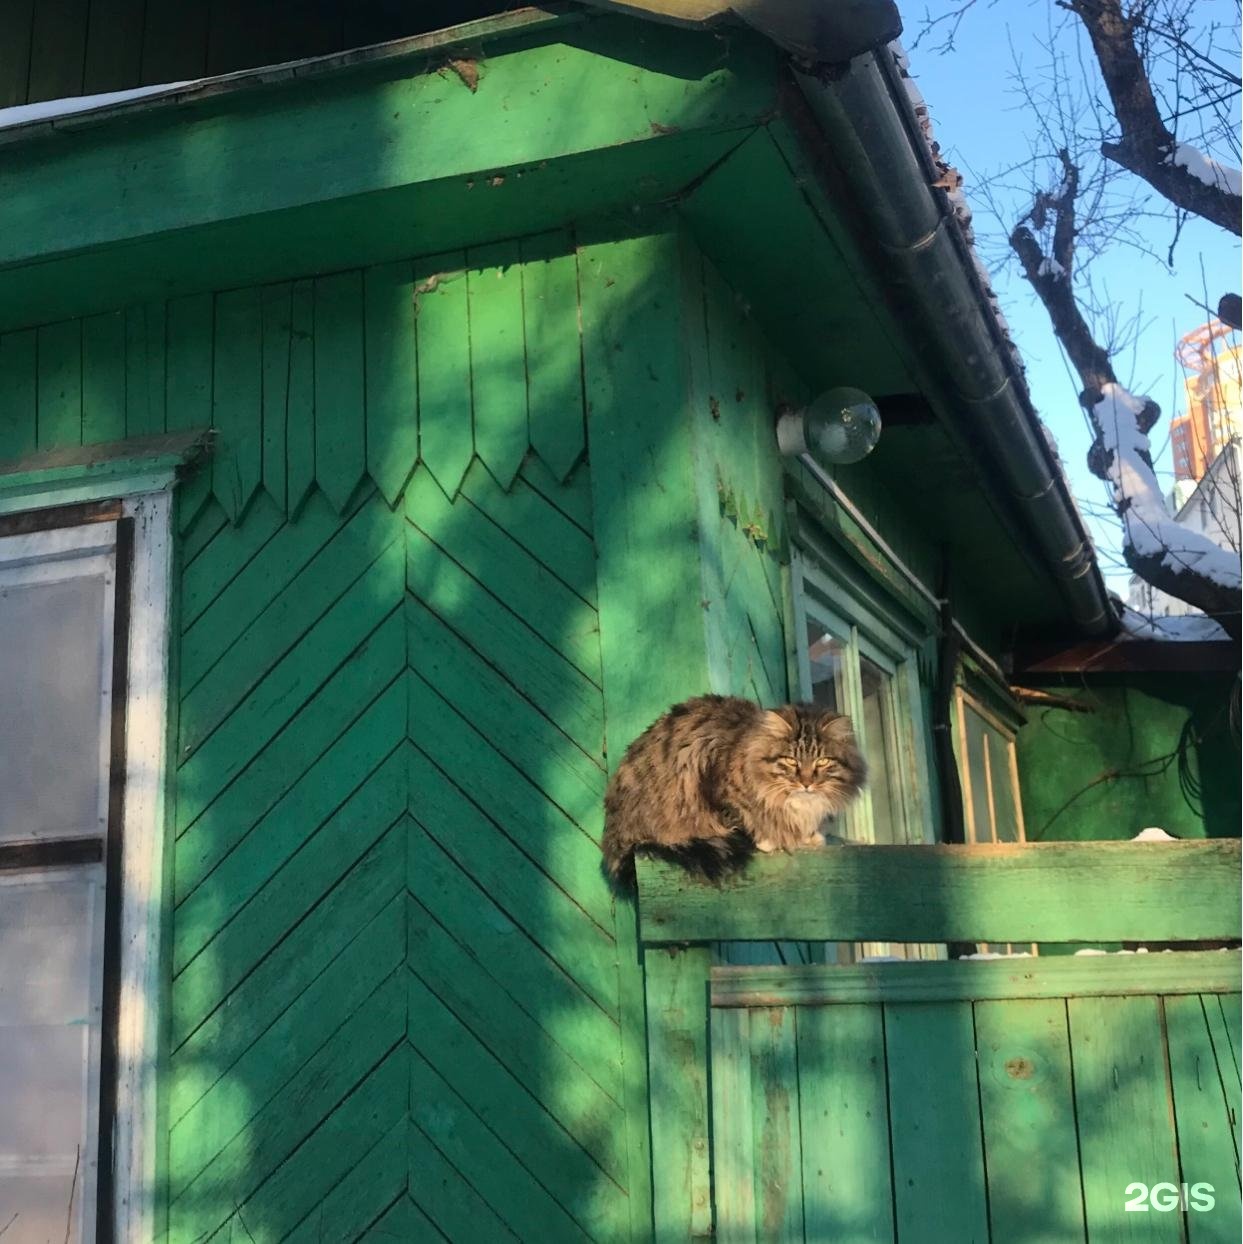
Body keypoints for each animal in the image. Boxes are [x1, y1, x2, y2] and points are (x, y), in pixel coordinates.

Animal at [602, 691, 865, 885]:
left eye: (822, 762)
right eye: (791, 761)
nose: (807, 783)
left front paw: (810, 838)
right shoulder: (715, 788)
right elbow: (747, 820)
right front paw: (770, 840)